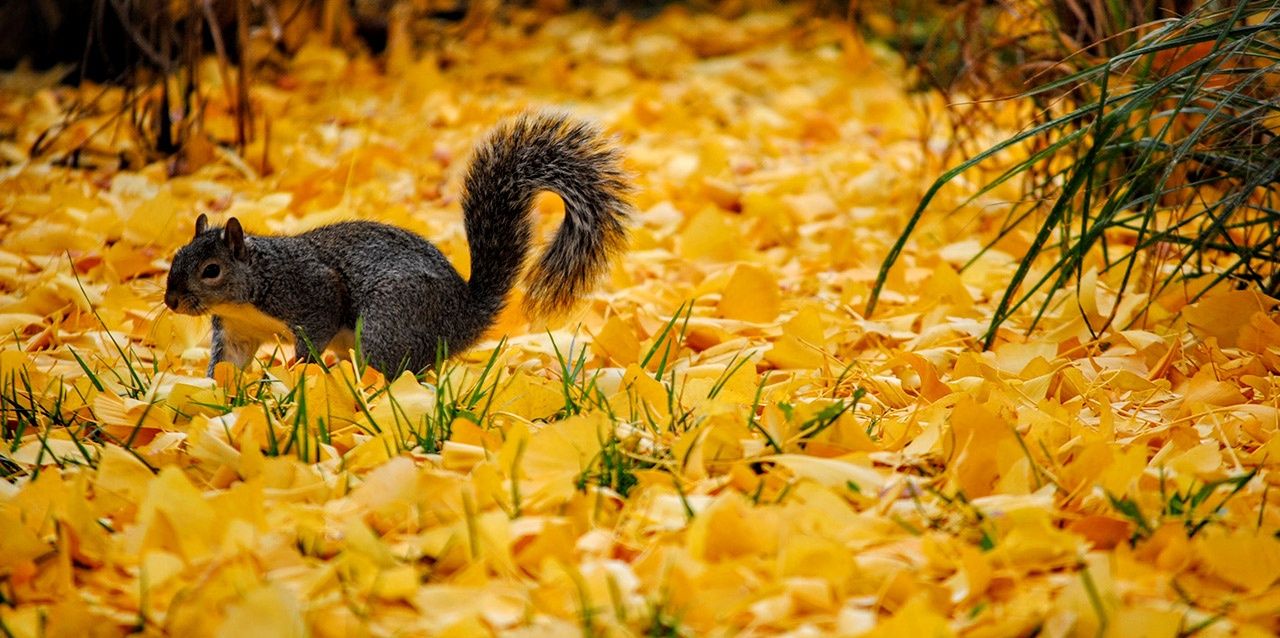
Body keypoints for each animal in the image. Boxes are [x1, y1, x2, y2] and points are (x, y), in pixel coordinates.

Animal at [164, 112, 632, 376]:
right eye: (175, 258)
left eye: (211, 270)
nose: (171, 302)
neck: (252, 284)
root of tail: (461, 318)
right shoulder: (238, 329)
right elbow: (228, 363)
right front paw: (216, 395)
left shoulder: (309, 289)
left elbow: (315, 329)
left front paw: (301, 376)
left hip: (389, 321)